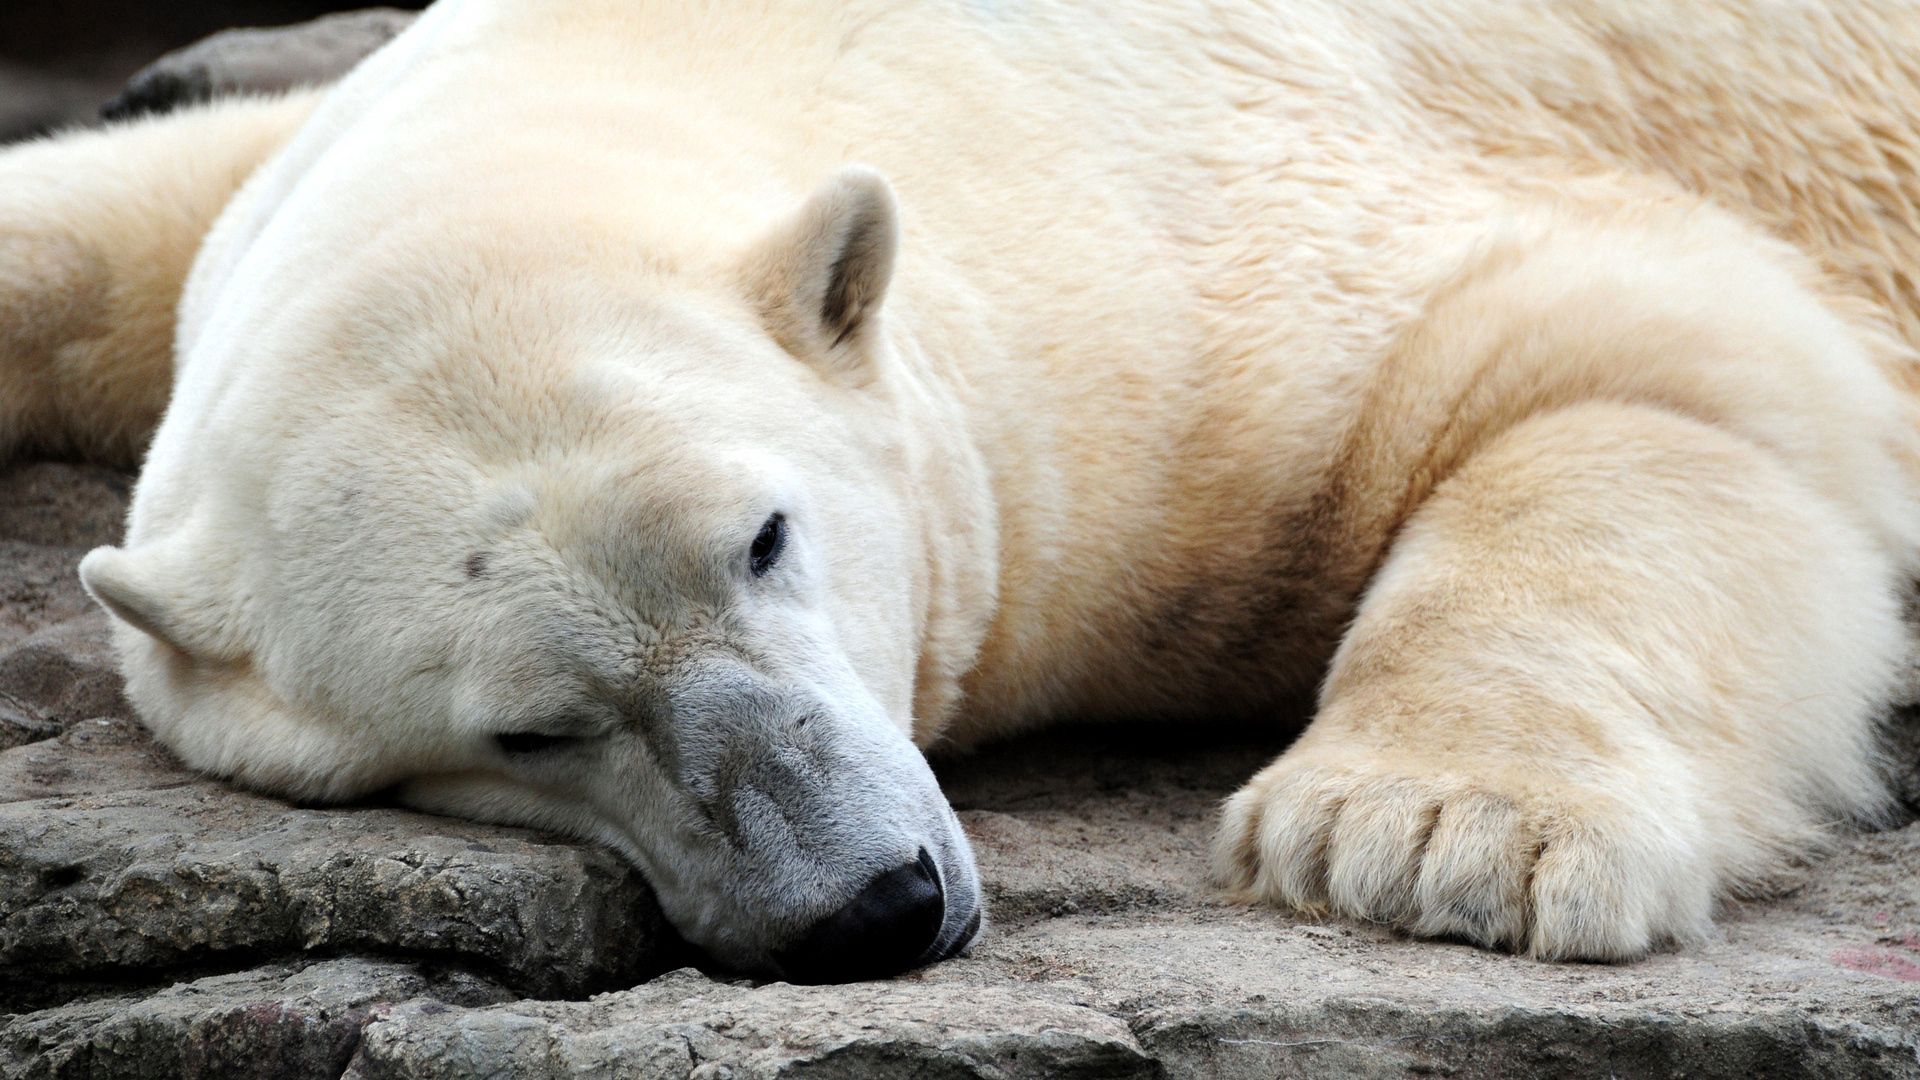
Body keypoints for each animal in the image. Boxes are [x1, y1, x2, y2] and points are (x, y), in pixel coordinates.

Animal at [3, 0, 1920, 976]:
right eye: (526, 734)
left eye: (767, 537)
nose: (873, 904)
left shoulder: (1185, 302)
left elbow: (1644, 358)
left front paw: (1434, 836)